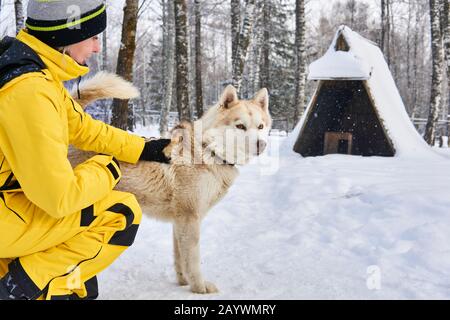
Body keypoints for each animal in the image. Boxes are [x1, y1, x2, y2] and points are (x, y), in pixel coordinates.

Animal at [70, 74, 272, 294]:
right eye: (240, 126)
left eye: (260, 127)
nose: (261, 144)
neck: (208, 151)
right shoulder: (190, 219)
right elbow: (193, 261)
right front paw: (199, 288)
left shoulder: (179, 221)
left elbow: (180, 260)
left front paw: (183, 283)